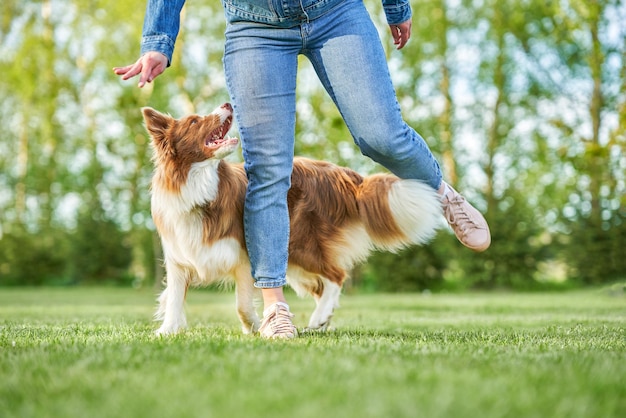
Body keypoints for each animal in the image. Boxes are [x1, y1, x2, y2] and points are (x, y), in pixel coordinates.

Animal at [144, 104, 442, 336]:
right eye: (194, 122)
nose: (228, 104)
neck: (198, 184)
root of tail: (340, 174)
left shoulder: (243, 258)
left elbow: (242, 305)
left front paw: (255, 326)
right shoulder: (179, 258)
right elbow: (174, 299)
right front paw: (167, 331)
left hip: (298, 243)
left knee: (336, 276)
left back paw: (318, 318)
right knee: (323, 287)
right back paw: (322, 323)